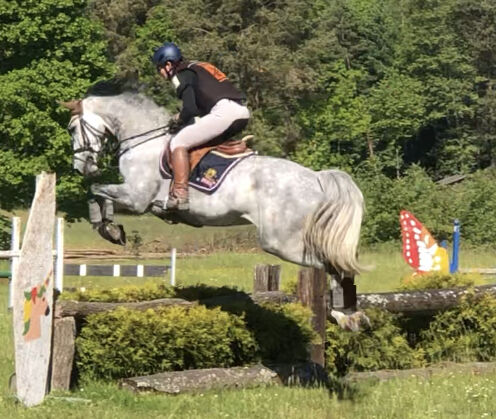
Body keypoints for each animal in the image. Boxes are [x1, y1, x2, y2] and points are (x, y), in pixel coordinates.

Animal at [61, 89, 368, 332]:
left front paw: (108, 228)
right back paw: (353, 315)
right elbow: (99, 194)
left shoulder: (137, 198)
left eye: (73, 128)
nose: (80, 167)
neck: (144, 140)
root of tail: (316, 177)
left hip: (281, 242)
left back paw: (344, 313)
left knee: (334, 263)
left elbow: (96, 192)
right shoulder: (133, 197)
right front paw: (111, 227)